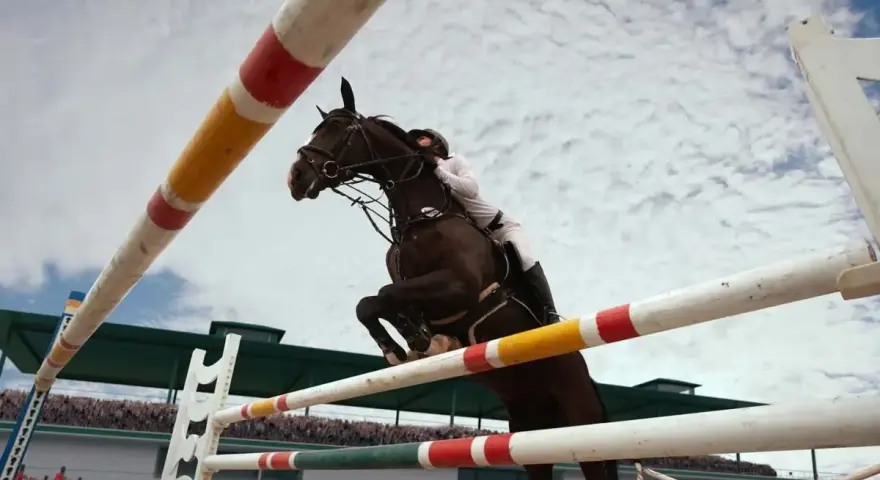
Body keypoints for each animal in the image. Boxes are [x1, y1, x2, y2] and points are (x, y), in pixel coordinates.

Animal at [288, 77, 619, 480]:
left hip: (582, 427)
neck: (423, 217)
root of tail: (588, 377)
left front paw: (412, 343)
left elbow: (382, 295)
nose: (296, 177)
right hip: (528, 429)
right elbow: (374, 303)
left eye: (337, 128)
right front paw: (412, 343)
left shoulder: (459, 286)